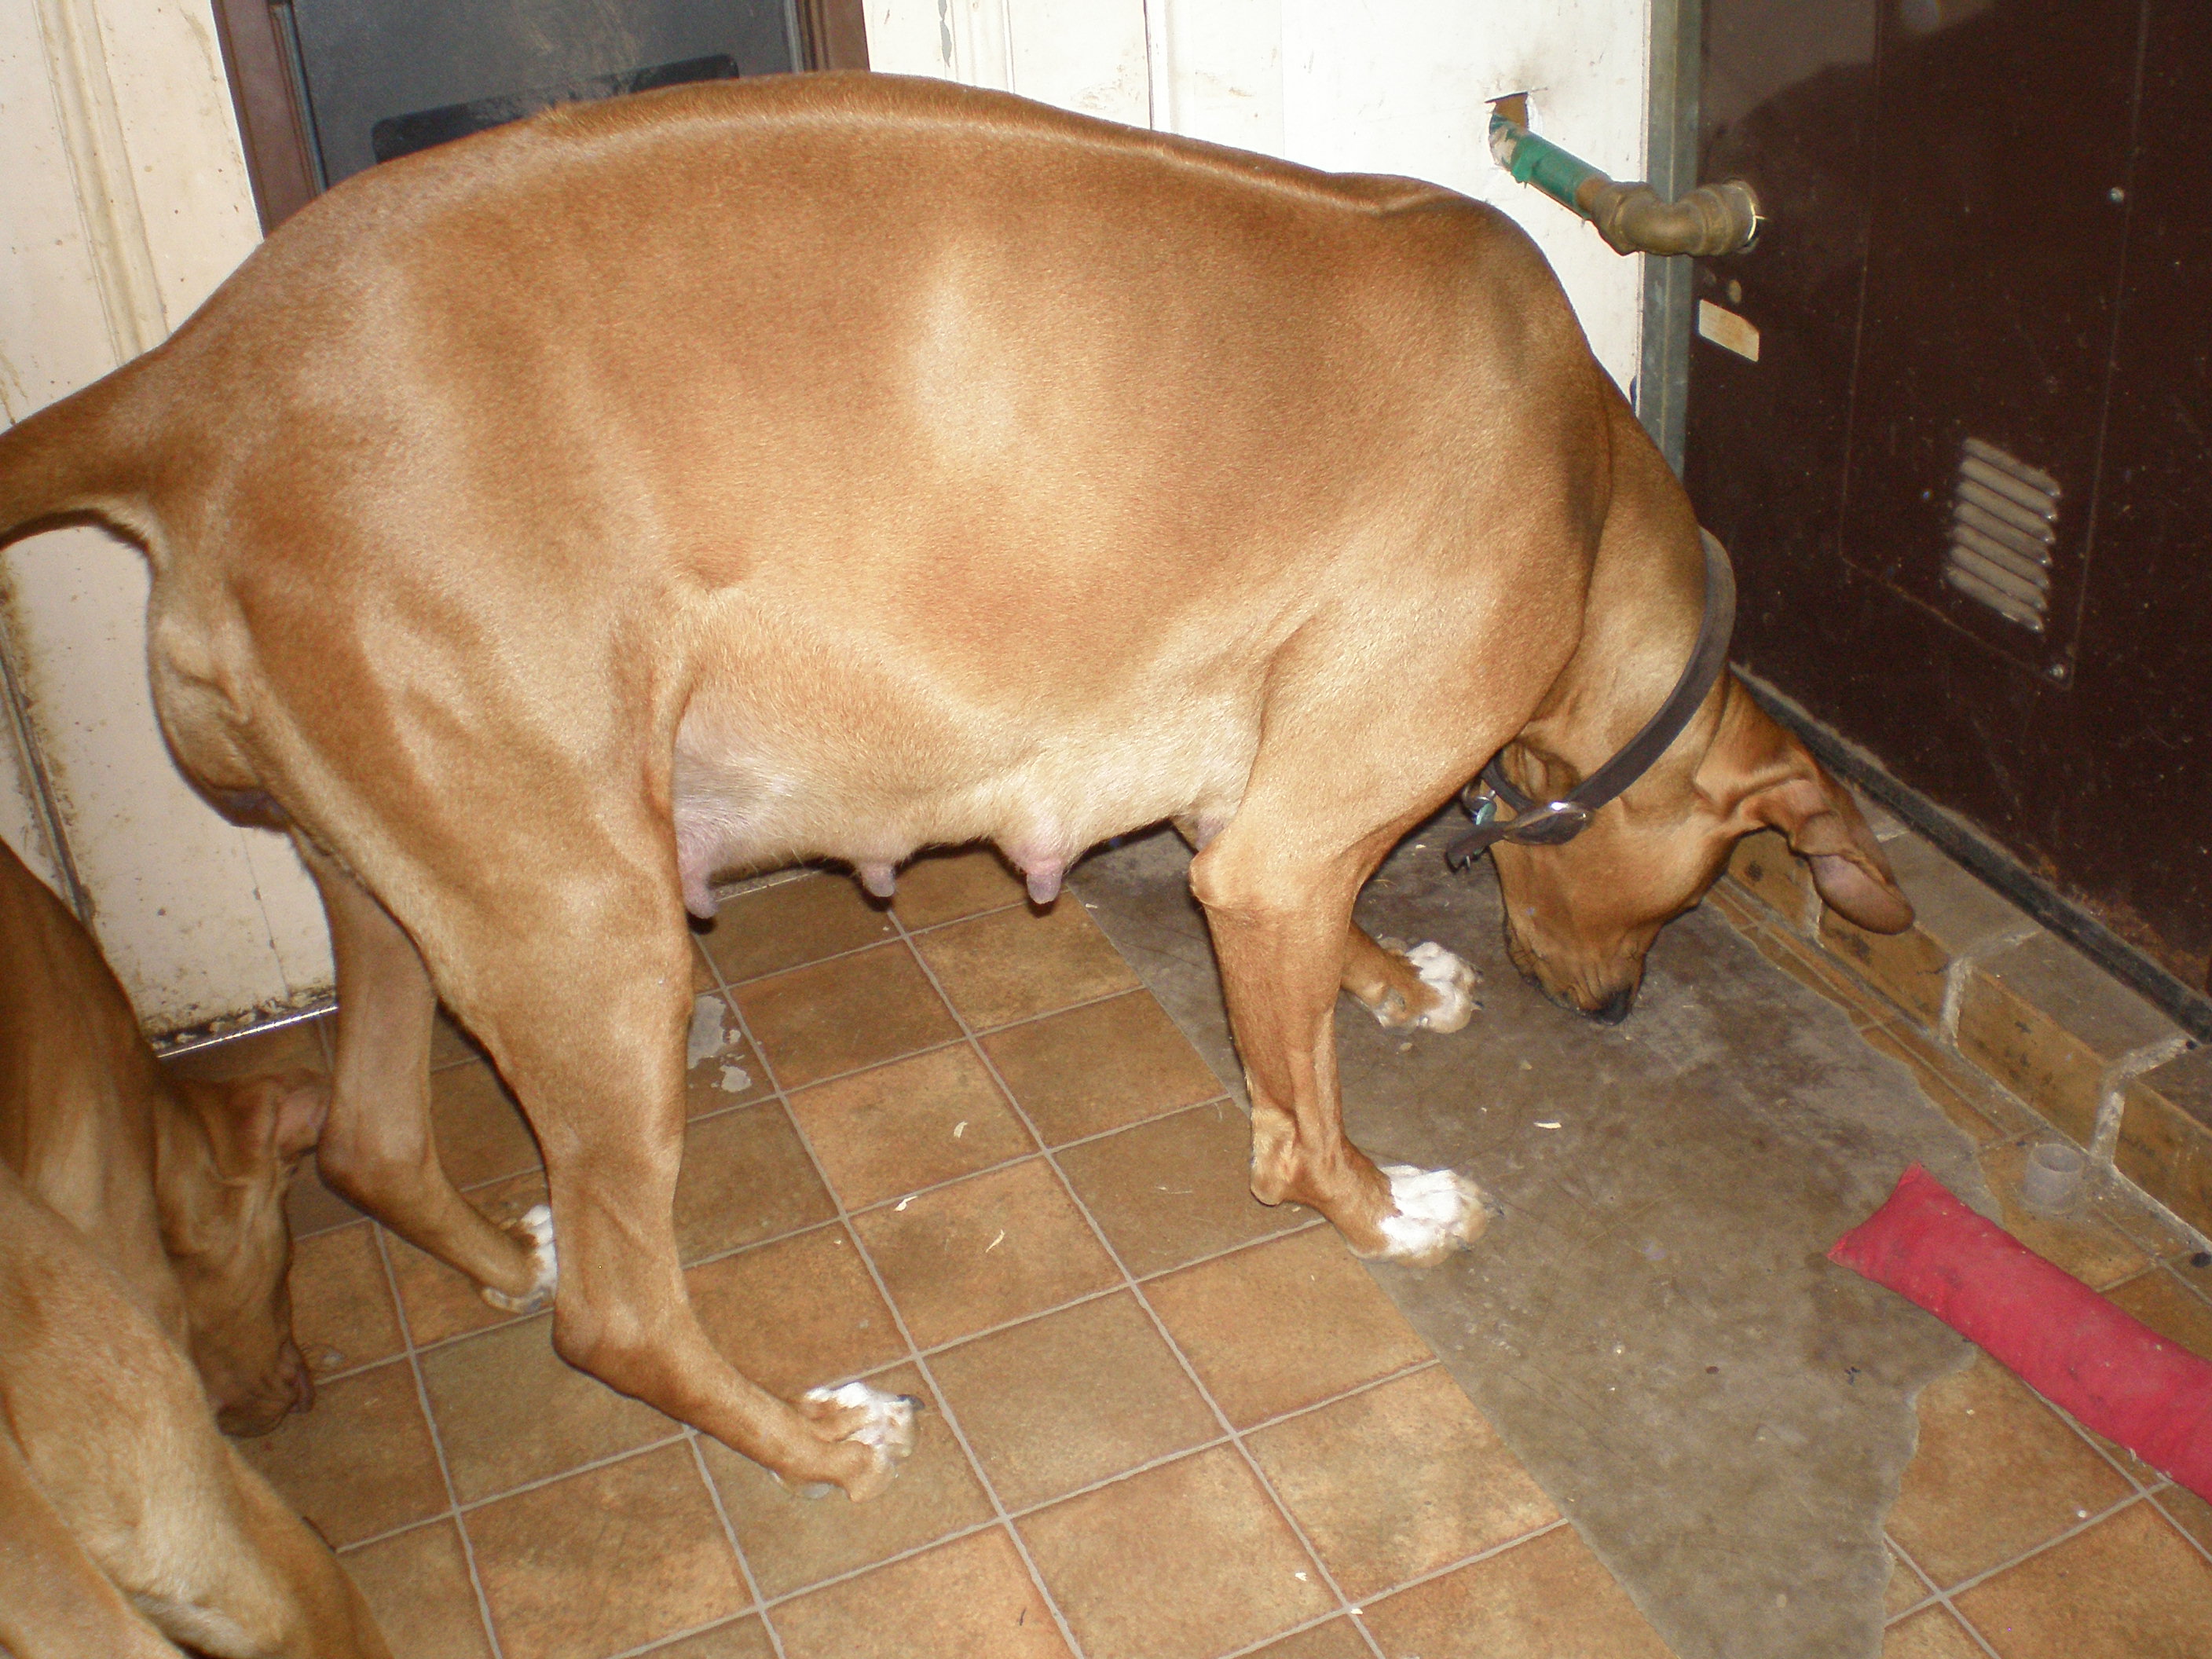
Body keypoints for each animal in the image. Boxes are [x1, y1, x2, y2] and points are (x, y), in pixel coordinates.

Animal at [0, 72, 1909, 1500]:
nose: (1614, 1014)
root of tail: (184, 386)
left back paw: (492, 1249)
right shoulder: (1279, 855)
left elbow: (1304, 938)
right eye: (1699, 890)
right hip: (584, 927)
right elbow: (1302, 1106)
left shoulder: (1247, 795)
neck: (1581, 473)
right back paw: (808, 1440)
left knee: (377, 1142)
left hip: (401, 877)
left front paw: (1385, 979)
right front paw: (1384, 1207)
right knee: (614, 1313)